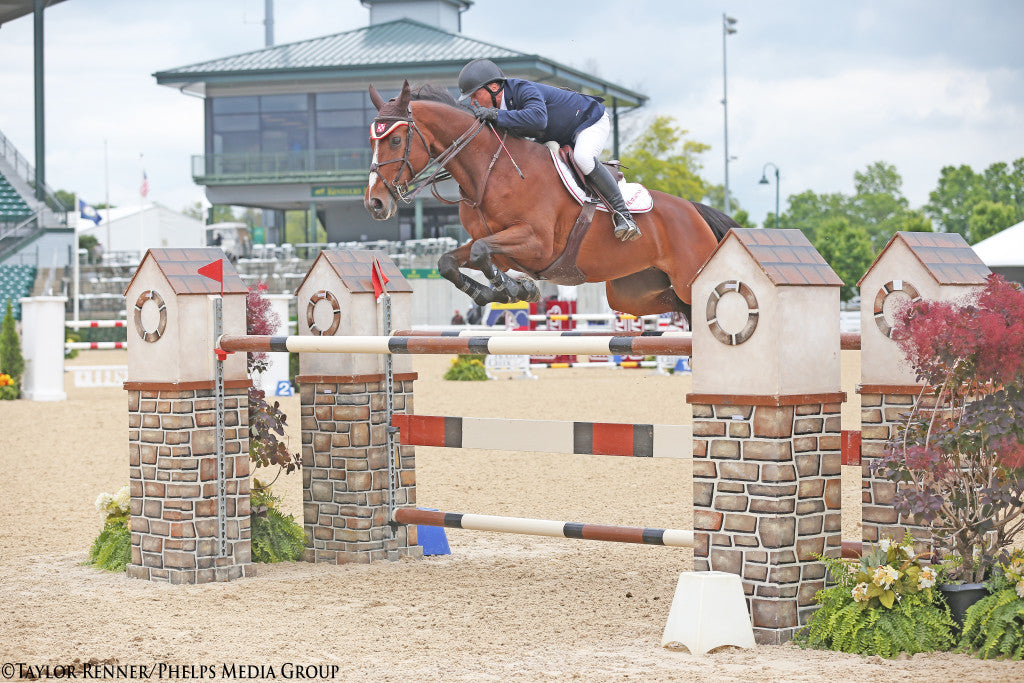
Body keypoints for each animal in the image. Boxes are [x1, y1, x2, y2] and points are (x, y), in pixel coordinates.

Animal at [364, 80, 733, 323]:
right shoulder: (495, 244)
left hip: (687, 278)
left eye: (395, 140)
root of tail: (694, 211)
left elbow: (483, 252)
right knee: (675, 306)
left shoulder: (537, 244)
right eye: (372, 140)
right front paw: (504, 291)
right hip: (633, 292)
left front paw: (513, 289)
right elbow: (449, 262)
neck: (489, 170)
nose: (374, 203)